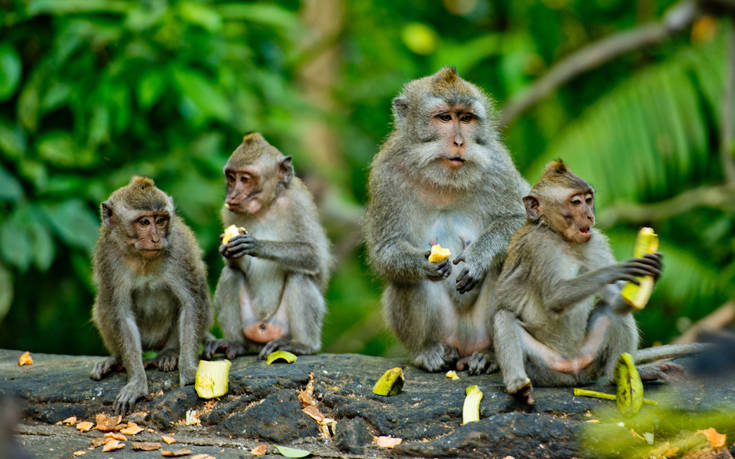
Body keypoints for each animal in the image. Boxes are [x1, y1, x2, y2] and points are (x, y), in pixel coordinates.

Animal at [90, 176, 213, 414]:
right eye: (144, 222)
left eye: (161, 220)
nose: (156, 239)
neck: (142, 258)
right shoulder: (108, 256)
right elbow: (121, 314)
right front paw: (137, 382)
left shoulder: (179, 249)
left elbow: (191, 303)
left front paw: (189, 370)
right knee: (104, 304)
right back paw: (115, 359)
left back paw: (169, 353)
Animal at [200, 131, 330, 362]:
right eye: (231, 177)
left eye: (245, 179)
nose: (232, 195)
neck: (265, 208)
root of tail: (263, 330)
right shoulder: (228, 212)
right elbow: (234, 266)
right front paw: (228, 251)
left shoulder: (298, 204)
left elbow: (313, 256)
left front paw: (256, 245)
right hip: (250, 325)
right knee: (231, 274)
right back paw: (235, 344)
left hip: (281, 326)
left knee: (300, 276)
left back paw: (302, 345)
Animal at [366, 65, 528, 374]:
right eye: (444, 117)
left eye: (466, 118)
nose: (460, 142)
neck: (444, 181)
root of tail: (464, 345)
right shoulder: (385, 174)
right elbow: (386, 249)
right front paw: (421, 263)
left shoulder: (499, 166)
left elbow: (519, 222)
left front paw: (478, 257)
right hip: (445, 330)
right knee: (405, 281)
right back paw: (427, 351)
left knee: (506, 263)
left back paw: (490, 355)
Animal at [484, 163, 700, 406]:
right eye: (575, 202)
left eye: (588, 199)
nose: (589, 215)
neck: (561, 237)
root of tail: (572, 370)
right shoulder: (538, 247)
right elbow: (555, 296)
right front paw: (617, 270)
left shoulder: (595, 241)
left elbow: (617, 302)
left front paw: (654, 271)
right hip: (544, 367)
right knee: (504, 317)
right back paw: (518, 385)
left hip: (590, 358)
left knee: (613, 312)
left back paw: (621, 375)